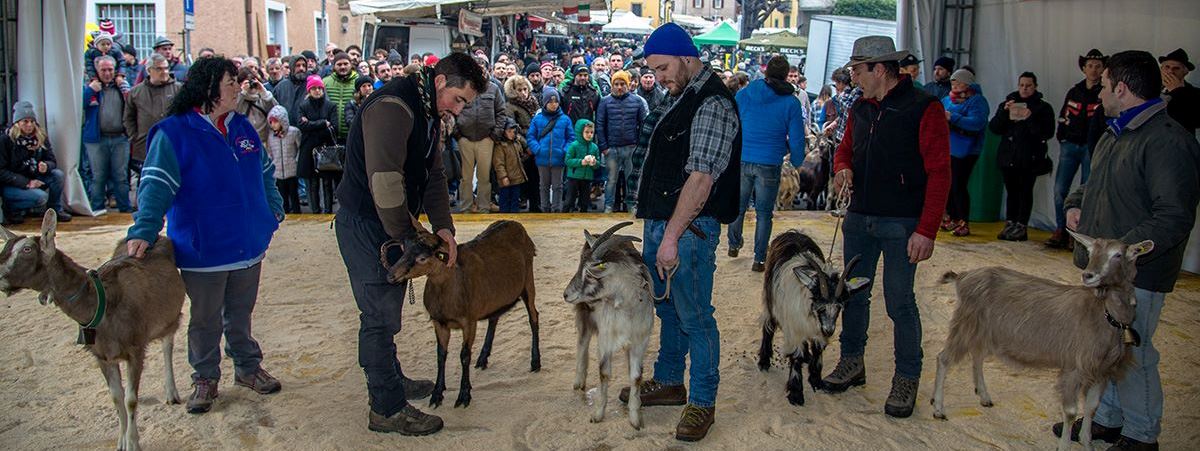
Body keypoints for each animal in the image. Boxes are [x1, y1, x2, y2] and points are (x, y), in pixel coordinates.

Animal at [0, 211, 184, 451]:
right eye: (5, 248)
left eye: (27, 249)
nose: (0, 277)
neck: (101, 302)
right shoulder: (101, 355)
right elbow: (117, 397)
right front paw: (121, 441)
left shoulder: (135, 348)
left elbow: (130, 400)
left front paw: (132, 442)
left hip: (170, 317)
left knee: (167, 346)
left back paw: (172, 393)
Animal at [384, 219, 540, 407]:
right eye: (404, 249)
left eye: (422, 258)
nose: (390, 276)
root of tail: (515, 222)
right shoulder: (439, 322)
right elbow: (441, 355)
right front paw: (437, 393)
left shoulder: (469, 321)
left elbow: (464, 355)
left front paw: (464, 395)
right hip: (495, 296)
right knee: (494, 318)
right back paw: (483, 357)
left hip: (528, 282)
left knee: (533, 317)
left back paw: (535, 361)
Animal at [564, 221, 657, 429]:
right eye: (580, 266)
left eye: (590, 272)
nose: (565, 294)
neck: (627, 309)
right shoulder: (606, 338)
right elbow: (604, 373)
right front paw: (598, 414)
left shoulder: (640, 341)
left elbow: (636, 376)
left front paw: (635, 417)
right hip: (584, 313)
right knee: (582, 343)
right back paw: (578, 381)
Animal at [753, 230, 868, 407]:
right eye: (820, 305)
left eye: (839, 306)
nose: (829, 330)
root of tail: (792, 232)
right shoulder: (794, 328)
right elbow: (796, 356)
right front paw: (796, 393)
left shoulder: (816, 329)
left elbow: (818, 350)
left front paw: (816, 380)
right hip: (770, 298)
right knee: (768, 326)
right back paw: (764, 361)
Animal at [926, 230, 1152, 448]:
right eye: (1090, 252)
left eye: (1118, 255)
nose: (1088, 275)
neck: (1105, 314)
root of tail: (962, 276)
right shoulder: (1074, 367)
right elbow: (1071, 412)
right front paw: (1065, 446)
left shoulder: (1102, 372)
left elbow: (1091, 408)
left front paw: (1087, 442)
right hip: (966, 323)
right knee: (943, 358)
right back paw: (938, 408)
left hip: (985, 330)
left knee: (978, 355)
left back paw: (983, 396)